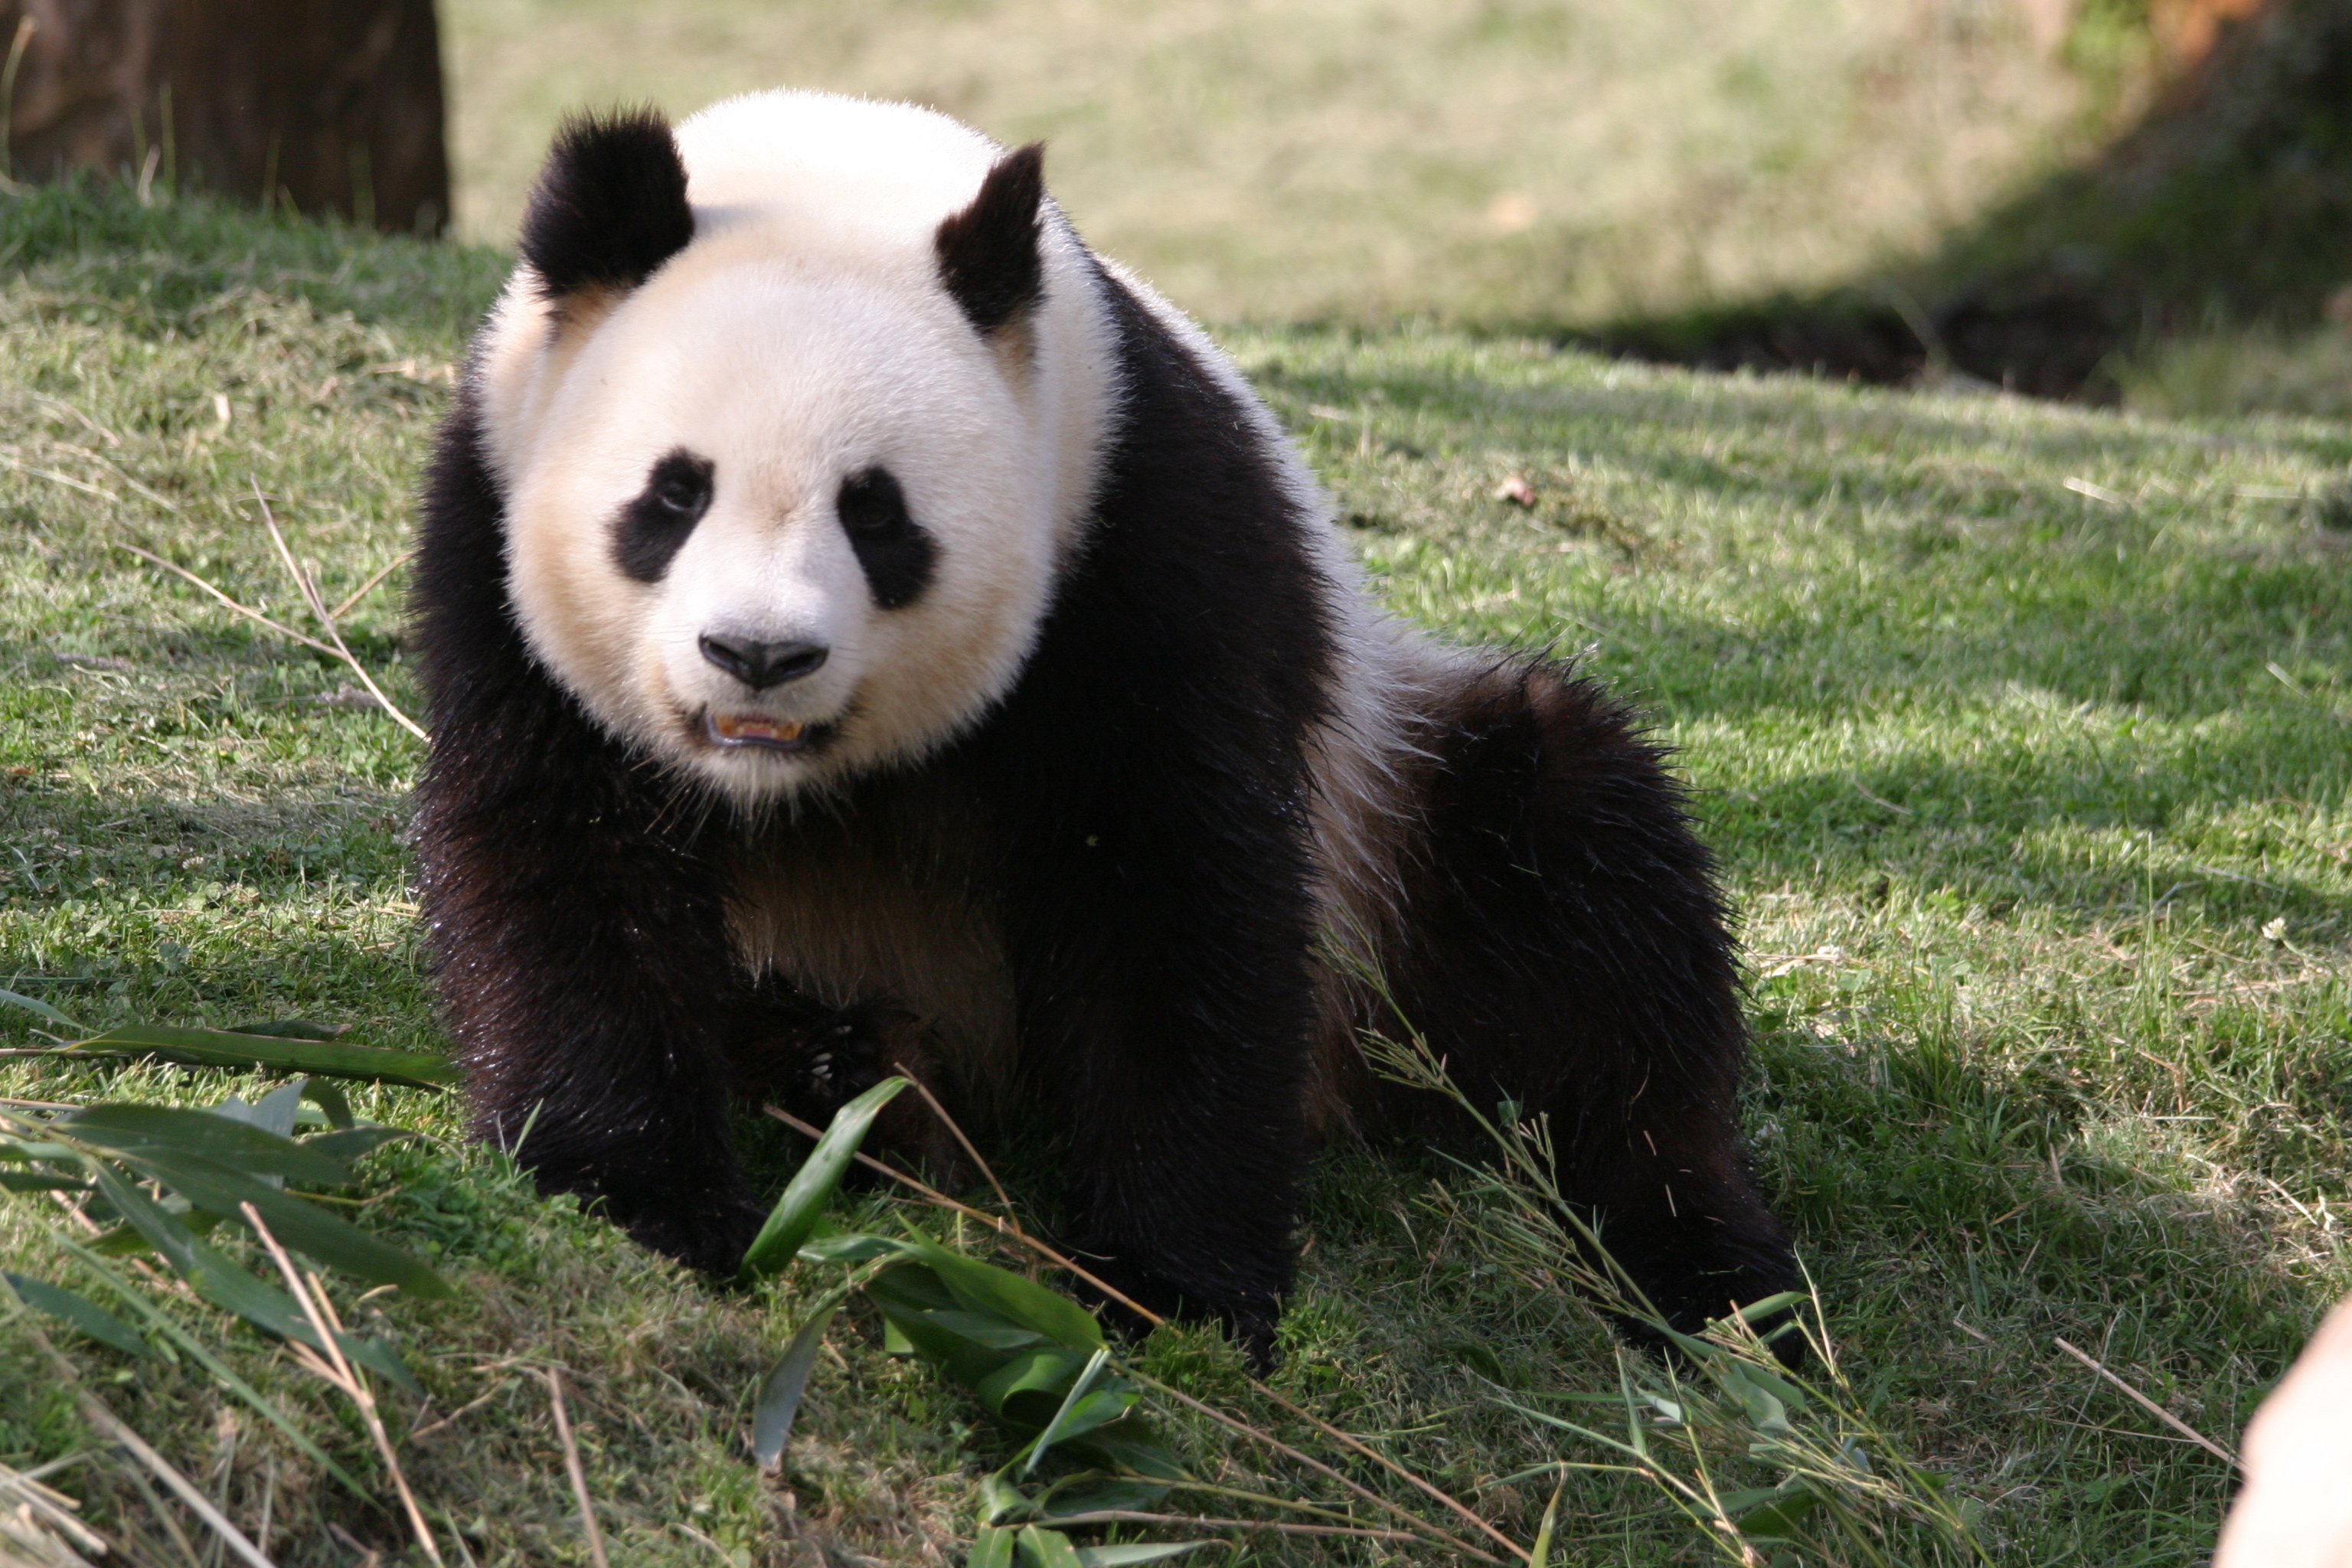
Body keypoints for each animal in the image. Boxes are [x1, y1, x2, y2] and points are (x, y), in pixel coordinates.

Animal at [409, 88, 1797, 1363]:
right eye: (674, 494)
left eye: (878, 515)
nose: (759, 656)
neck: (825, 176)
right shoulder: (489, 522)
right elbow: (564, 862)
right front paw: (636, 1198)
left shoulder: (1137, 523)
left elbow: (1170, 888)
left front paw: (1166, 1288)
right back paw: (848, 1076)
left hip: (1395, 836)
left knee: (1583, 893)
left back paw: (1706, 1267)